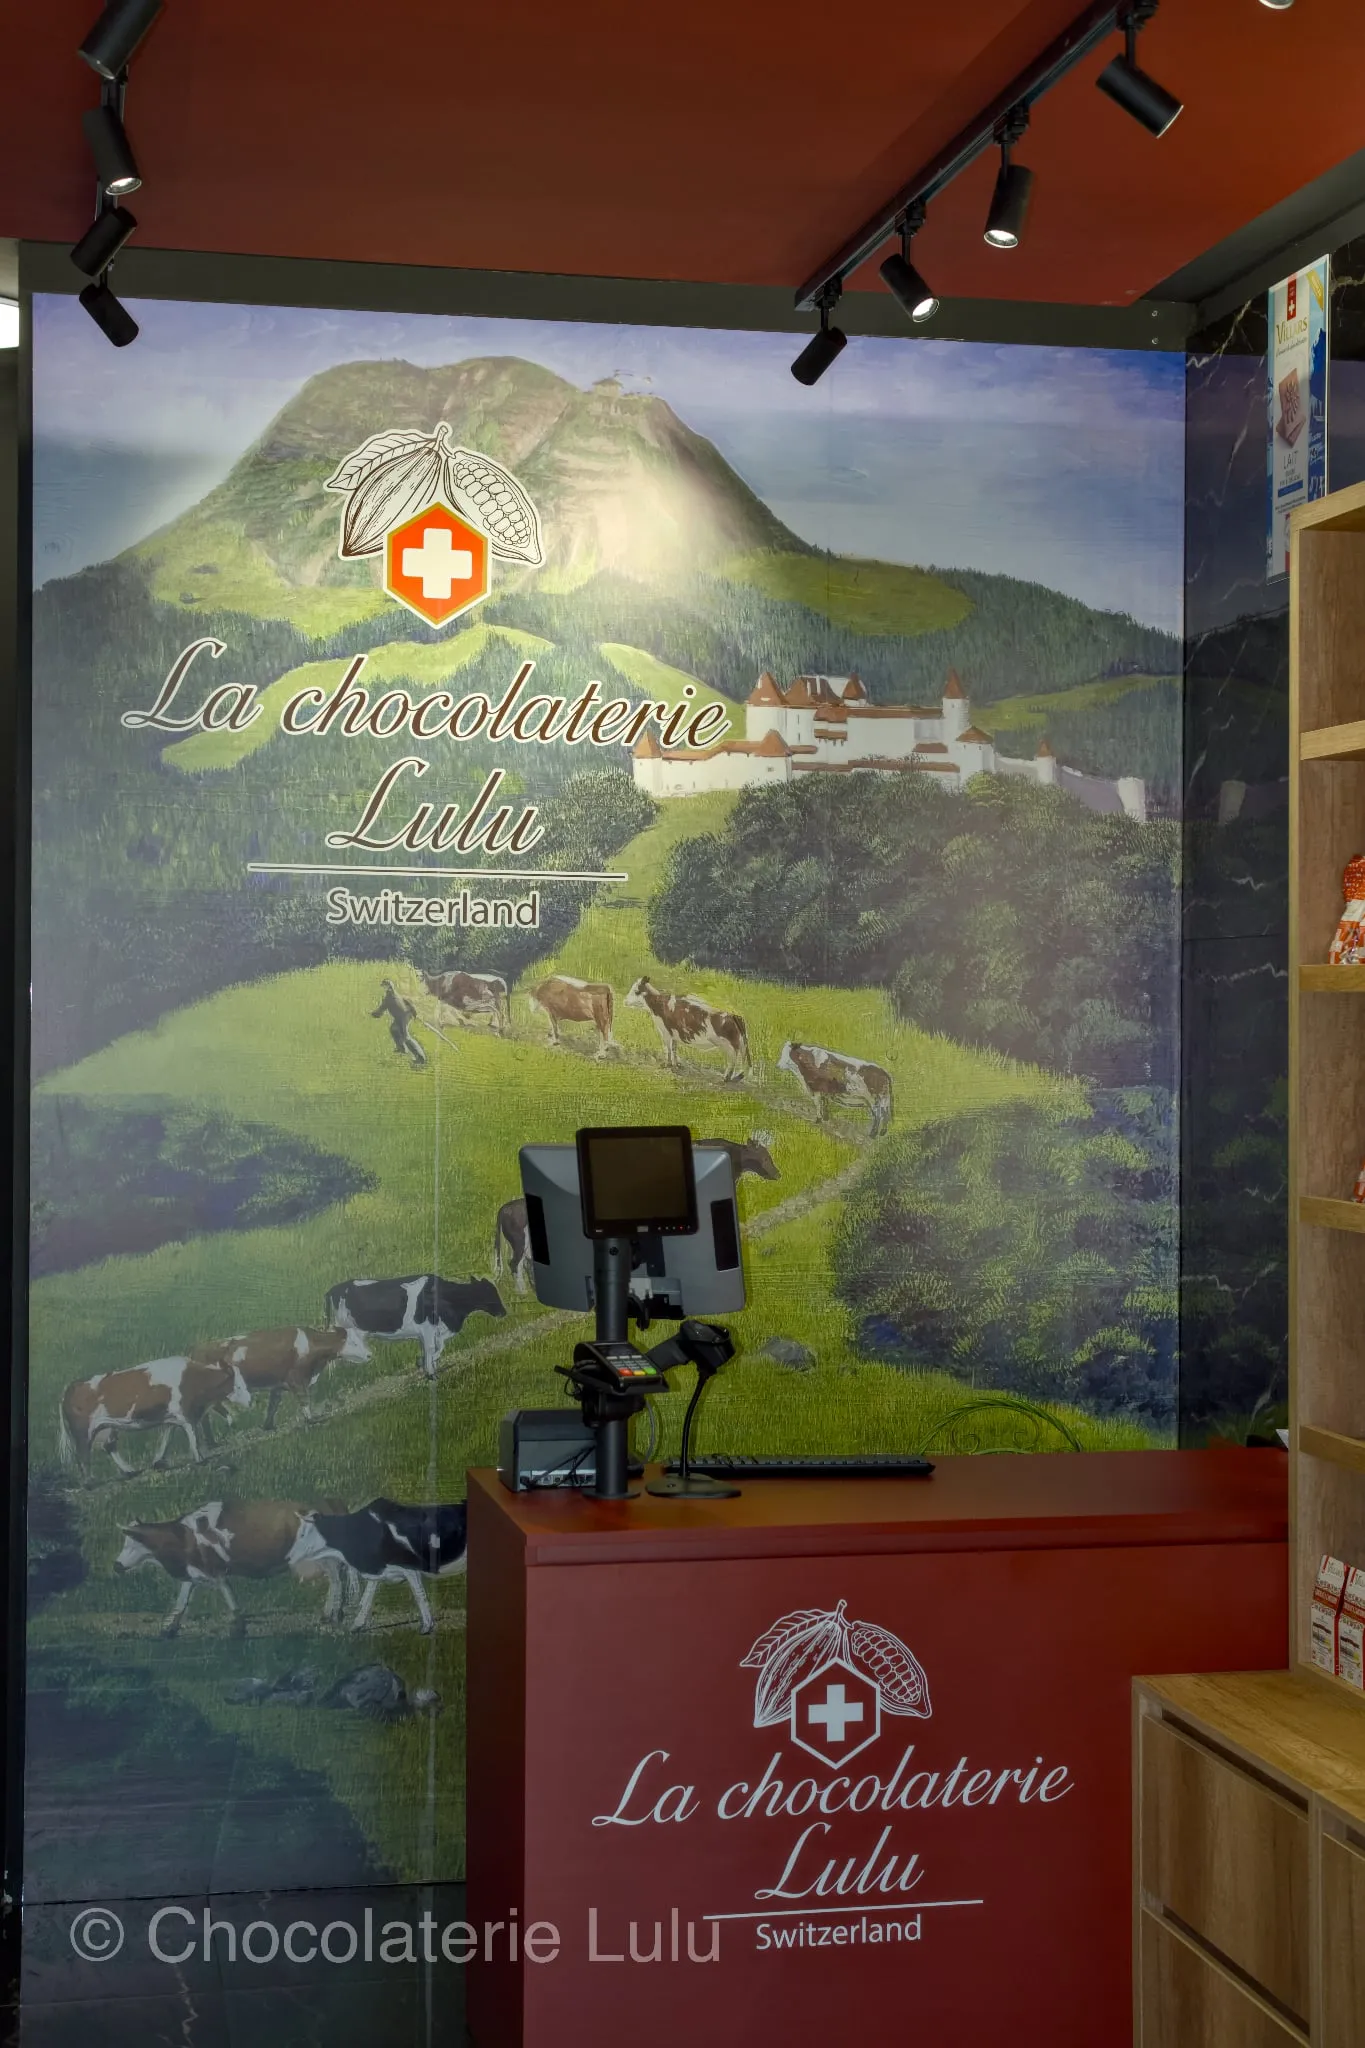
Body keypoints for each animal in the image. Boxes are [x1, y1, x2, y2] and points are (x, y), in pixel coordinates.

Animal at [59, 1356, 250, 1479]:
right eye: (238, 1386)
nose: (250, 1400)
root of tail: (71, 1386)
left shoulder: (172, 1417)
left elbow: (168, 1437)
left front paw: (159, 1461)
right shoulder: (185, 1413)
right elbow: (193, 1435)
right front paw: (200, 1458)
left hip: (108, 1427)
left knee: (109, 1446)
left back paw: (130, 1471)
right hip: (83, 1431)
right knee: (83, 1453)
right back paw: (89, 1482)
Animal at [113, 1498, 338, 1637]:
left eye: (131, 1543)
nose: (116, 1565)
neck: (184, 1537)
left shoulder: (215, 1571)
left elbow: (228, 1594)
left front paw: (238, 1628)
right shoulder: (195, 1570)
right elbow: (182, 1601)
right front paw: (168, 1629)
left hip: (317, 1554)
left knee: (335, 1574)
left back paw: (333, 1613)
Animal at [191, 1326, 369, 1430]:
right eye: (353, 1343)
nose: (369, 1354)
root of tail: (197, 1350)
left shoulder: (278, 1384)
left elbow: (273, 1405)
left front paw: (268, 1426)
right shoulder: (295, 1378)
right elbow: (304, 1399)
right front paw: (311, 1419)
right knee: (213, 1405)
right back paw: (231, 1421)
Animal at [292, 1498, 468, 1634]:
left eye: (302, 1534)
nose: (288, 1556)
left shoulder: (409, 1568)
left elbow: (419, 1595)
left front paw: (426, 1627)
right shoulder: (378, 1570)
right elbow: (366, 1598)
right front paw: (356, 1625)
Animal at [324, 1274, 505, 1380]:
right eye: (489, 1293)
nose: (504, 1312)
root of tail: (335, 1288)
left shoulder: (436, 1330)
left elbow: (438, 1345)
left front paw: (426, 1363)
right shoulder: (427, 1327)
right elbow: (432, 1347)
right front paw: (430, 1372)